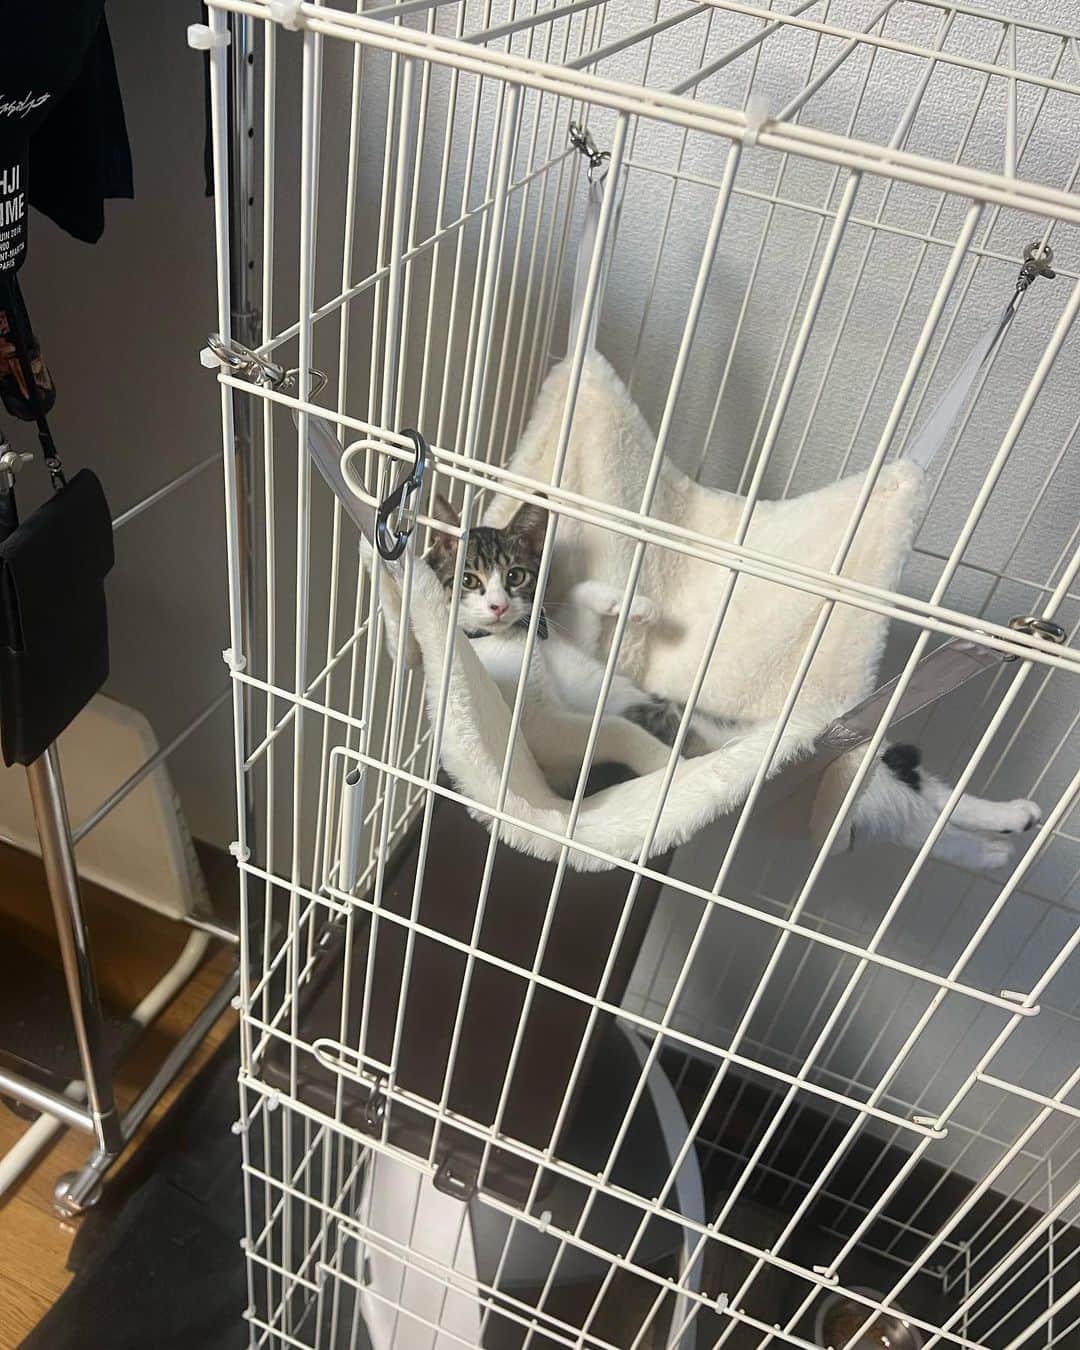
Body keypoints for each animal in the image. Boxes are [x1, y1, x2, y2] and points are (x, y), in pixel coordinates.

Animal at [411, 496, 1041, 871]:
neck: (518, 642)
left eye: (516, 575)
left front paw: (633, 605)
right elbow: (611, 727)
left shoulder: (570, 651)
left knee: (923, 792)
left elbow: (587, 615)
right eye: (468, 580)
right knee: (917, 820)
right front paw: (663, 763)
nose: (497, 606)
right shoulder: (539, 729)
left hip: (852, 748)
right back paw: (993, 848)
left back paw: (1010, 817)